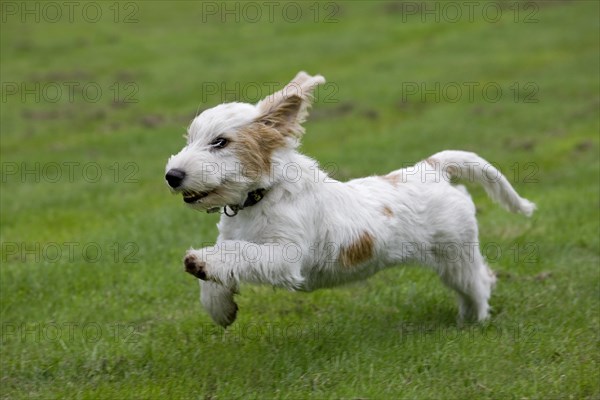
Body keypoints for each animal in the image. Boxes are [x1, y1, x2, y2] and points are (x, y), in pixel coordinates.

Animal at [164, 72, 536, 328]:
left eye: (220, 142)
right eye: (191, 138)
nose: (172, 175)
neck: (261, 197)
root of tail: (431, 167)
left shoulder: (284, 257)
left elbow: (238, 253)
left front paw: (199, 262)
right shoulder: (236, 240)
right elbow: (223, 266)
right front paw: (220, 308)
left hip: (456, 254)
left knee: (478, 283)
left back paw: (473, 320)